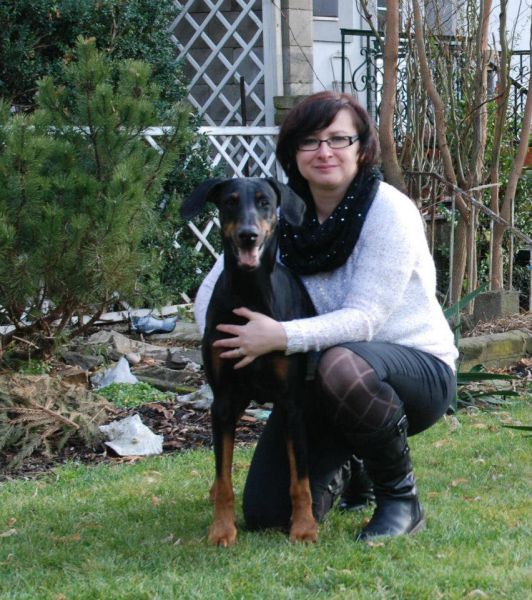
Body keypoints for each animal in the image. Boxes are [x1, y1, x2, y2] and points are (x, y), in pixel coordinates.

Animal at [181, 177, 317, 547]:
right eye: (229, 201)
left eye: (264, 202)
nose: (248, 235)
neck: (250, 294)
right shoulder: (223, 401)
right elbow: (225, 474)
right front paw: (222, 528)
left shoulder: (292, 403)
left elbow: (300, 479)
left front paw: (304, 526)